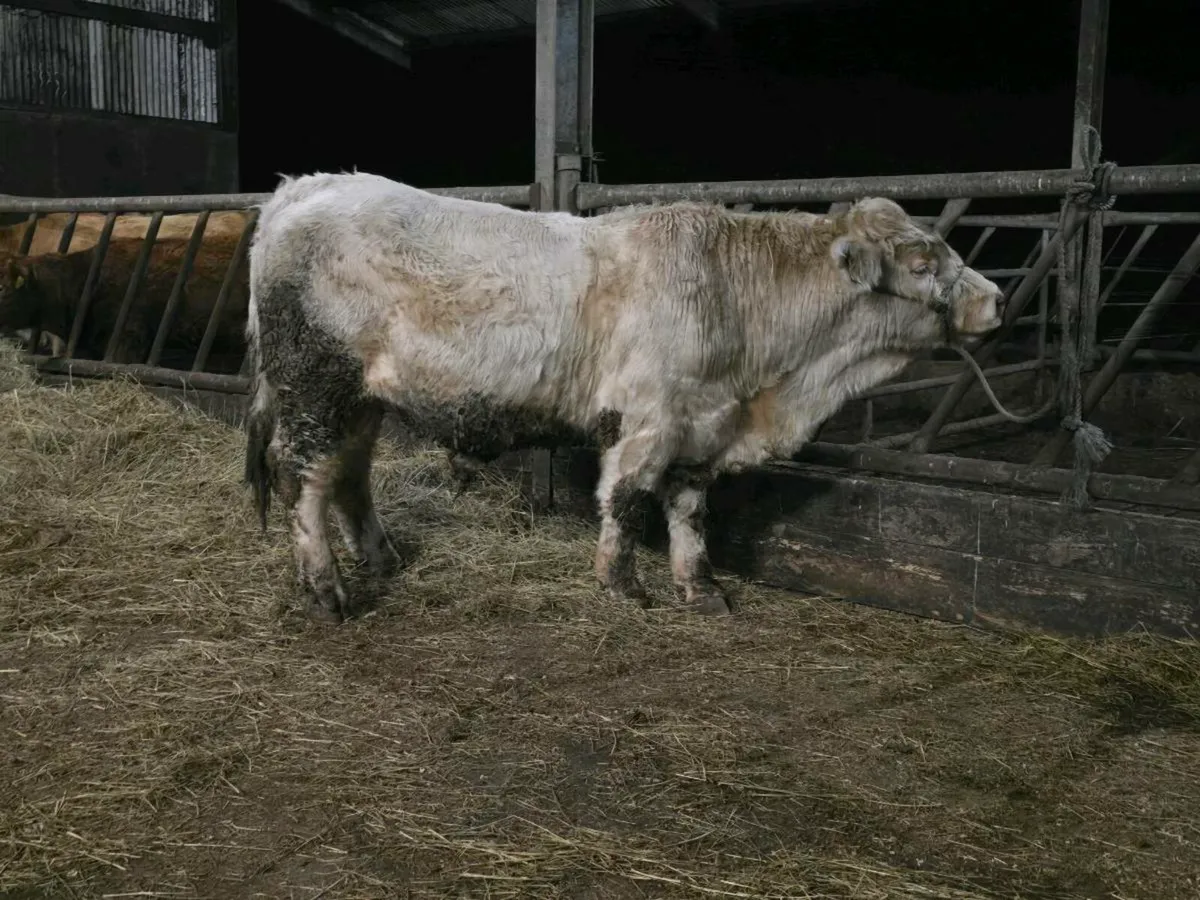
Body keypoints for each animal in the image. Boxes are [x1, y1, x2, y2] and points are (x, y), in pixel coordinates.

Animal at [243, 172, 1004, 625]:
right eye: (922, 262)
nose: (995, 299)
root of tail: (305, 187)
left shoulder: (703, 422)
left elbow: (689, 510)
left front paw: (701, 590)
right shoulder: (648, 418)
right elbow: (628, 499)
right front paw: (622, 584)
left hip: (361, 400)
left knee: (349, 475)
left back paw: (381, 556)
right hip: (315, 387)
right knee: (300, 477)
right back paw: (326, 589)